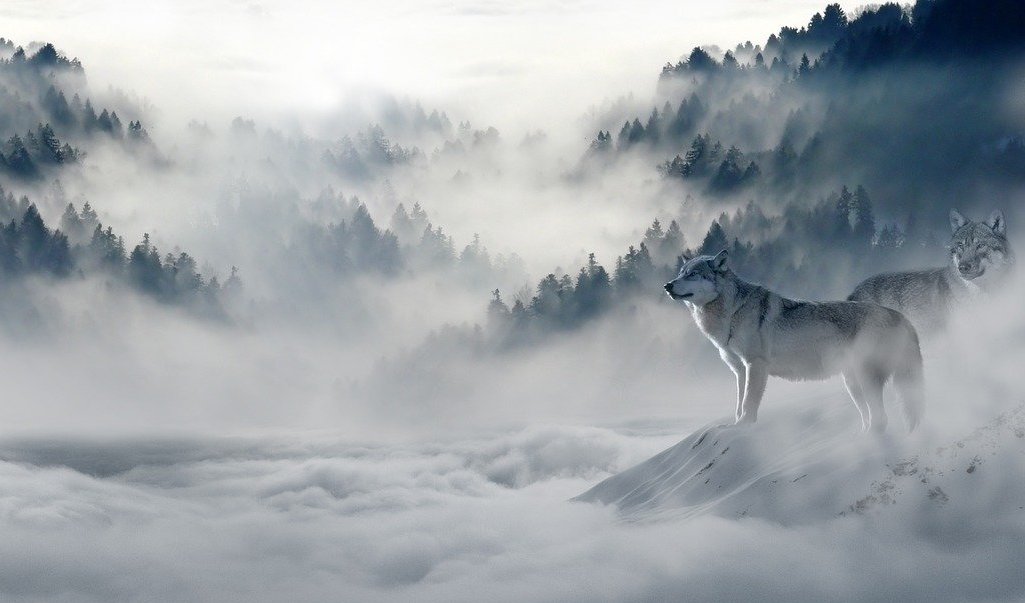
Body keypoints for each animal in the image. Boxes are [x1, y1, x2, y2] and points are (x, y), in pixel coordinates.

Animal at [665, 250, 924, 432]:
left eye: (692, 274)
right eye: (680, 273)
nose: (667, 285)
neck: (731, 312)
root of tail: (901, 317)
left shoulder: (755, 365)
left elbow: (748, 404)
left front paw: (744, 427)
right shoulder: (739, 370)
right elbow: (738, 405)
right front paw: (734, 426)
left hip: (865, 378)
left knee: (881, 419)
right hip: (852, 384)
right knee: (871, 418)